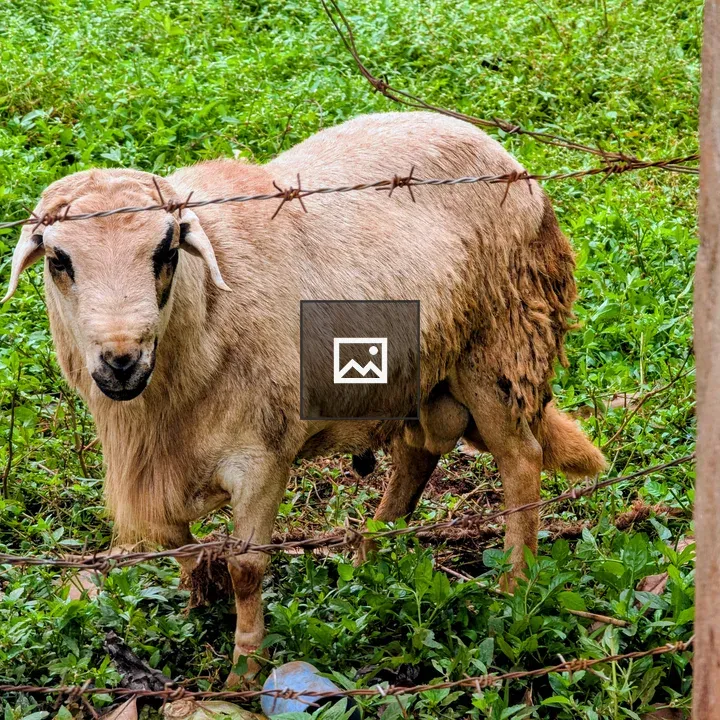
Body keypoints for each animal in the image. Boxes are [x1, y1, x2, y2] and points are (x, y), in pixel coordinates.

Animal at [2, 111, 605, 685]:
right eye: (59, 260)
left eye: (165, 249)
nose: (122, 361)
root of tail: (507, 159)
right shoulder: (163, 468)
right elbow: (176, 540)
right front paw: (203, 588)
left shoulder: (262, 456)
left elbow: (248, 569)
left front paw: (244, 671)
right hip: (418, 370)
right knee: (417, 457)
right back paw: (366, 557)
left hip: (498, 348)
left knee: (520, 460)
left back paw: (513, 586)